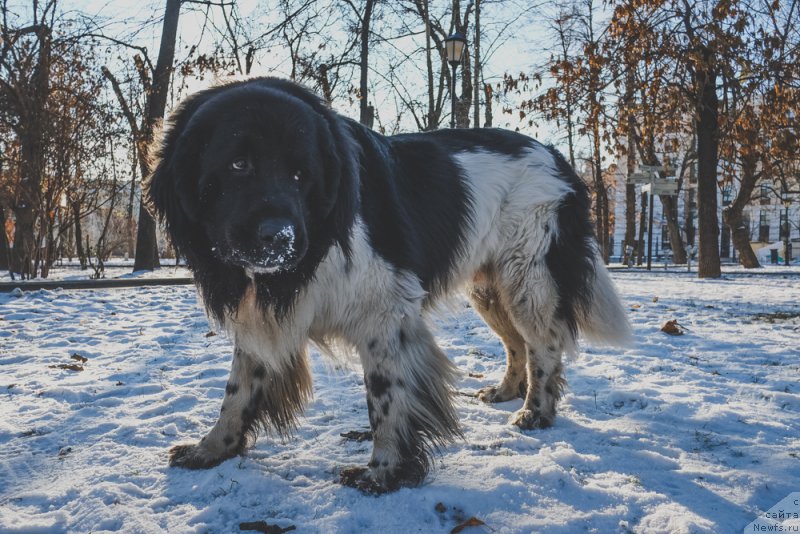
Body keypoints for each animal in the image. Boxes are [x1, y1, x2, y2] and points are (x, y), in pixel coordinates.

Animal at [145, 77, 632, 496]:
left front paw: (383, 473)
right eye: (238, 164)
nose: (280, 238)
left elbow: (386, 395)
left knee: (543, 343)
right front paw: (212, 449)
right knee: (517, 343)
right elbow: (238, 390)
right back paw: (506, 393)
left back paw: (536, 411)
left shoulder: (385, 312)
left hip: (528, 275)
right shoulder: (259, 314)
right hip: (489, 288)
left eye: (302, 175)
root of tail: (555, 153)